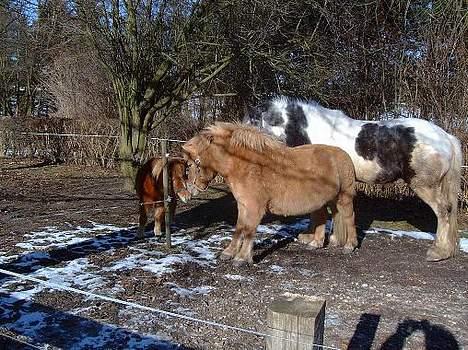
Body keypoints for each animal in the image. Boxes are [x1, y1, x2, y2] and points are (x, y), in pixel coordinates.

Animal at [181, 122, 356, 266]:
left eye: (191, 163)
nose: (192, 189)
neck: (247, 165)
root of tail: (344, 155)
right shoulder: (243, 205)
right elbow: (239, 229)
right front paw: (229, 253)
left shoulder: (255, 208)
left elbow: (249, 231)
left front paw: (242, 258)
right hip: (324, 200)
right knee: (322, 217)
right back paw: (316, 243)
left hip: (344, 198)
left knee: (349, 218)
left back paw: (350, 245)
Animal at [247, 97, 462, 262]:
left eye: (250, 126)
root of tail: (446, 137)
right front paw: (332, 239)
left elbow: (319, 212)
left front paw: (316, 241)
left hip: (424, 186)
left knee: (443, 212)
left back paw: (438, 252)